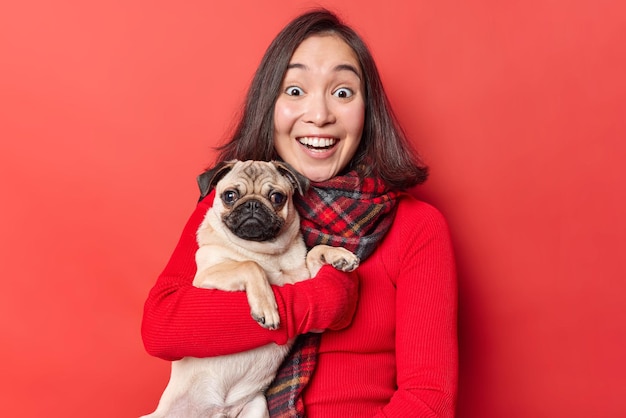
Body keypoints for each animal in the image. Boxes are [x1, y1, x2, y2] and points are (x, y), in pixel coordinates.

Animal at [141, 161, 356, 418]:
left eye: (277, 197)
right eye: (230, 196)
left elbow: (315, 252)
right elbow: (249, 265)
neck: (266, 252)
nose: (253, 204)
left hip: (257, 407)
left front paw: (340, 256)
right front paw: (267, 308)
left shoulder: (310, 306)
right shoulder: (205, 277)